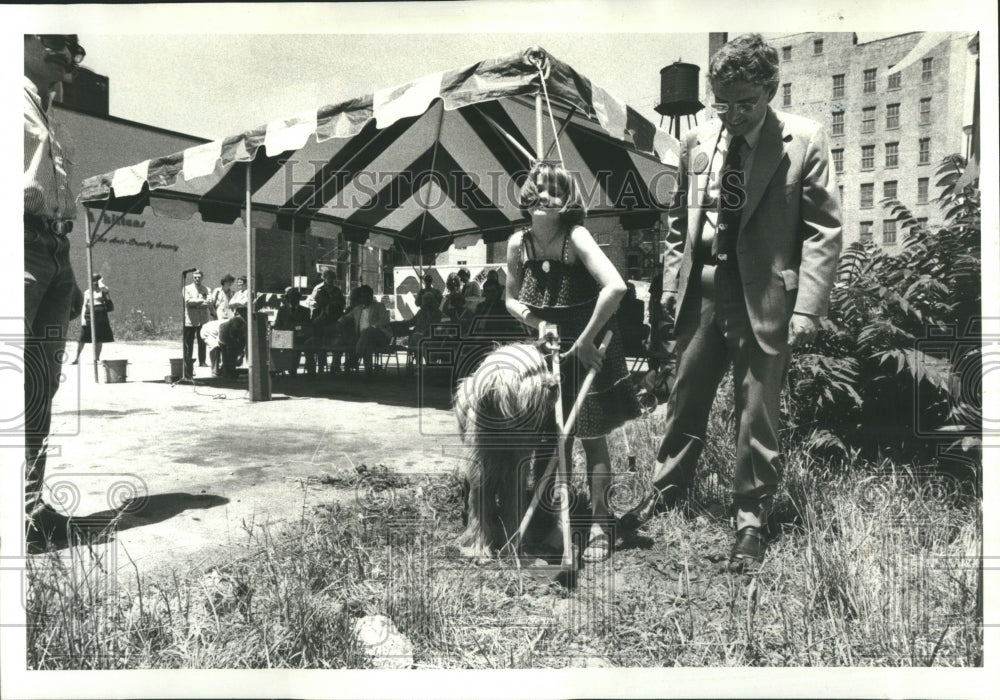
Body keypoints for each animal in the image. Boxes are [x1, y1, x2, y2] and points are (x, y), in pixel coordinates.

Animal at [456, 344, 564, 556]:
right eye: (528, 373)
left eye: (543, 367)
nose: (554, 385)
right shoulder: (481, 470)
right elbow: (480, 506)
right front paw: (480, 546)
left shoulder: (515, 471)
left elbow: (513, 503)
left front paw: (513, 541)